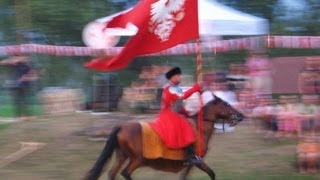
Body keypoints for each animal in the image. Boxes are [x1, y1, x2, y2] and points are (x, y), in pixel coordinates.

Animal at [84, 93, 244, 179]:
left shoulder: (190, 165)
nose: (241, 116)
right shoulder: (197, 161)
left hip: (122, 157)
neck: (199, 128)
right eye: (227, 104)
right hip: (137, 159)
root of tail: (121, 127)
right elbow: (211, 173)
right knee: (125, 173)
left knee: (112, 173)